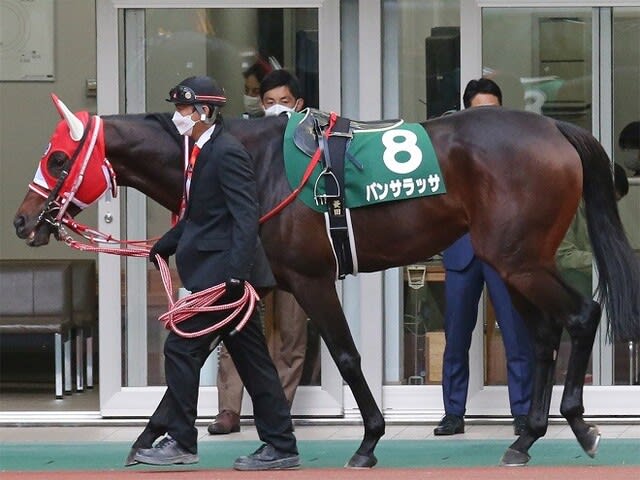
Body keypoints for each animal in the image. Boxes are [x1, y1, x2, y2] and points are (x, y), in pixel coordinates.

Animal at [12, 98, 640, 468]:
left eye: (61, 159)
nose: (22, 220)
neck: (253, 161)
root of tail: (554, 128)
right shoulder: (253, 279)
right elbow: (205, 347)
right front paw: (154, 438)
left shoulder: (311, 279)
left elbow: (344, 354)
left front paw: (367, 441)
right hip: (513, 263)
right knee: (543, 336)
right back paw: (526, 437)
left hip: (519, 259)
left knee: (581, 315)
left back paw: (579, 425)